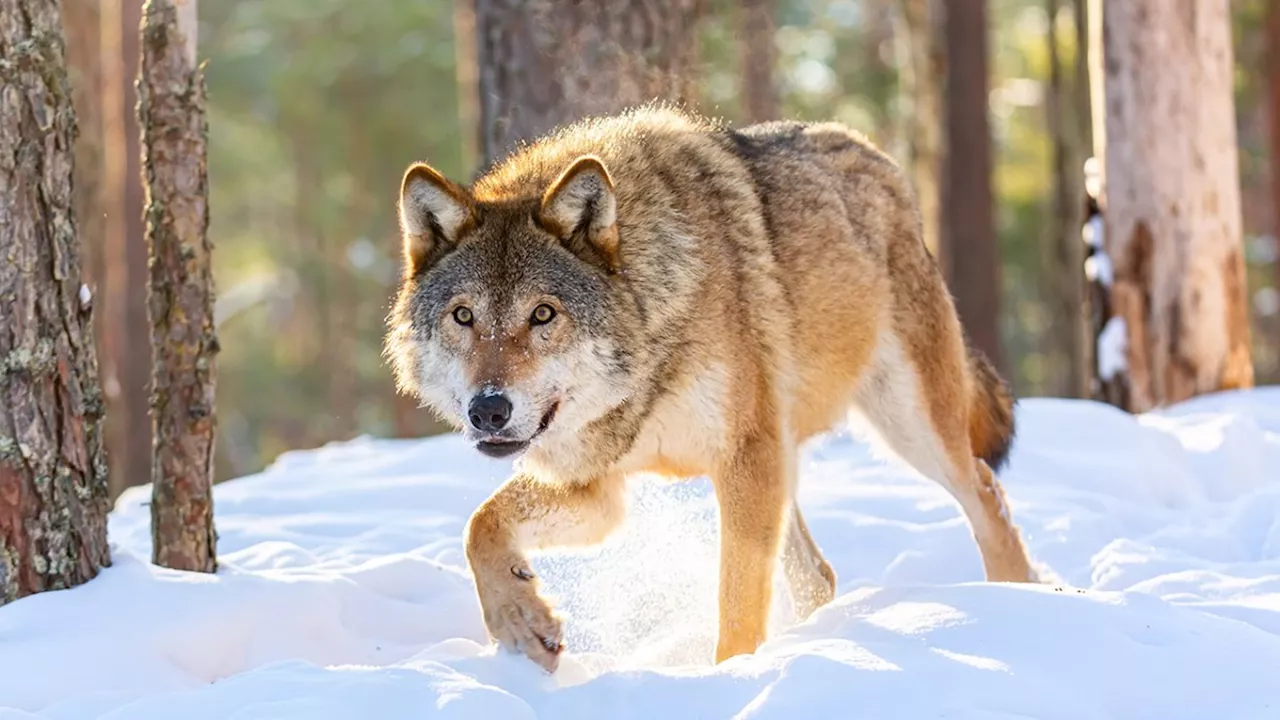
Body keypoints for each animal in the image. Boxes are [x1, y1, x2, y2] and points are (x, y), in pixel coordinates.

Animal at [384, 103, 1044, 671]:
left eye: (543, 314)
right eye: (464, 316)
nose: (489, 410)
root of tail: (874, 153)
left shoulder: (743, 459)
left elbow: (737, 603)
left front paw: (729, 677)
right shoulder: (597, 488)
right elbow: (479, 527)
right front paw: (522, 622)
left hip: (905, 426)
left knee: (985, 493)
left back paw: (1021, 607)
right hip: (793, 458)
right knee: (819, 576)